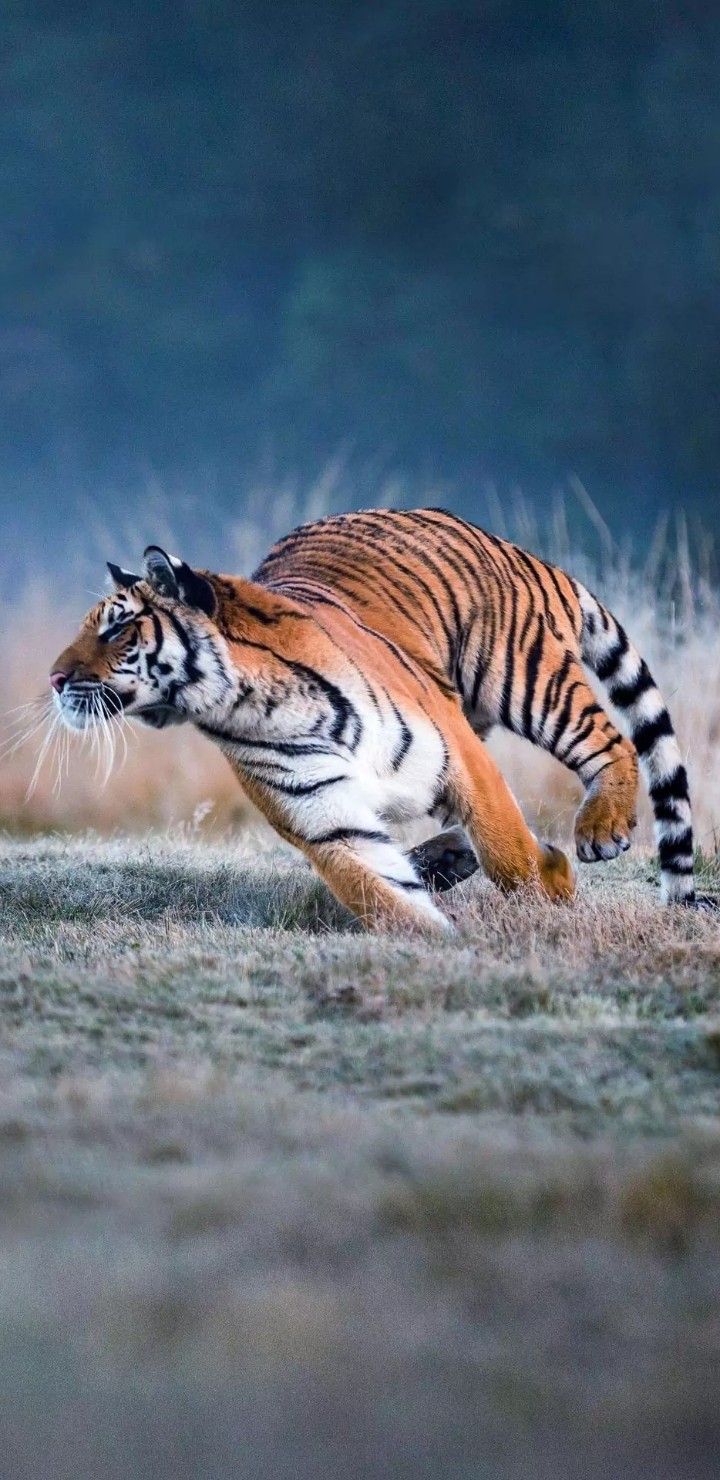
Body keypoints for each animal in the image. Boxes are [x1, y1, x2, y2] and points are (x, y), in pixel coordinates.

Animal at [48, 507, 704, 933]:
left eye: (116, 628)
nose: (53, 679)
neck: (251, 707)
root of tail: (517, 550)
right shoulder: (325, 819)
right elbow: (380, 892)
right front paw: (436, 944)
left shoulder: (457, 753)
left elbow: (508, 851)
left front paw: (549, 899)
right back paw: (446, 859)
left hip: (521, 677)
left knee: (611, 739)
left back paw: (599, 830)